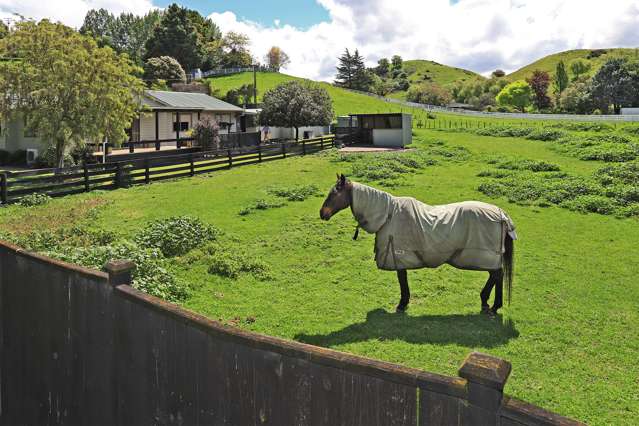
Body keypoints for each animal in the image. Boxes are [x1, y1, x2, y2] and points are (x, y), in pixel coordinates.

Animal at [320, 174, 520, 316]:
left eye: (334, 194)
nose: (322, 213)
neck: (387, 215)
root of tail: (501, 214)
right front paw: (404, 303)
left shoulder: (399, 255)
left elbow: (402, 281)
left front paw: (402, 304)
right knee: (496, 275)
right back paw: (489, 303)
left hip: (487, 255)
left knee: (496, 274)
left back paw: (491, 305)